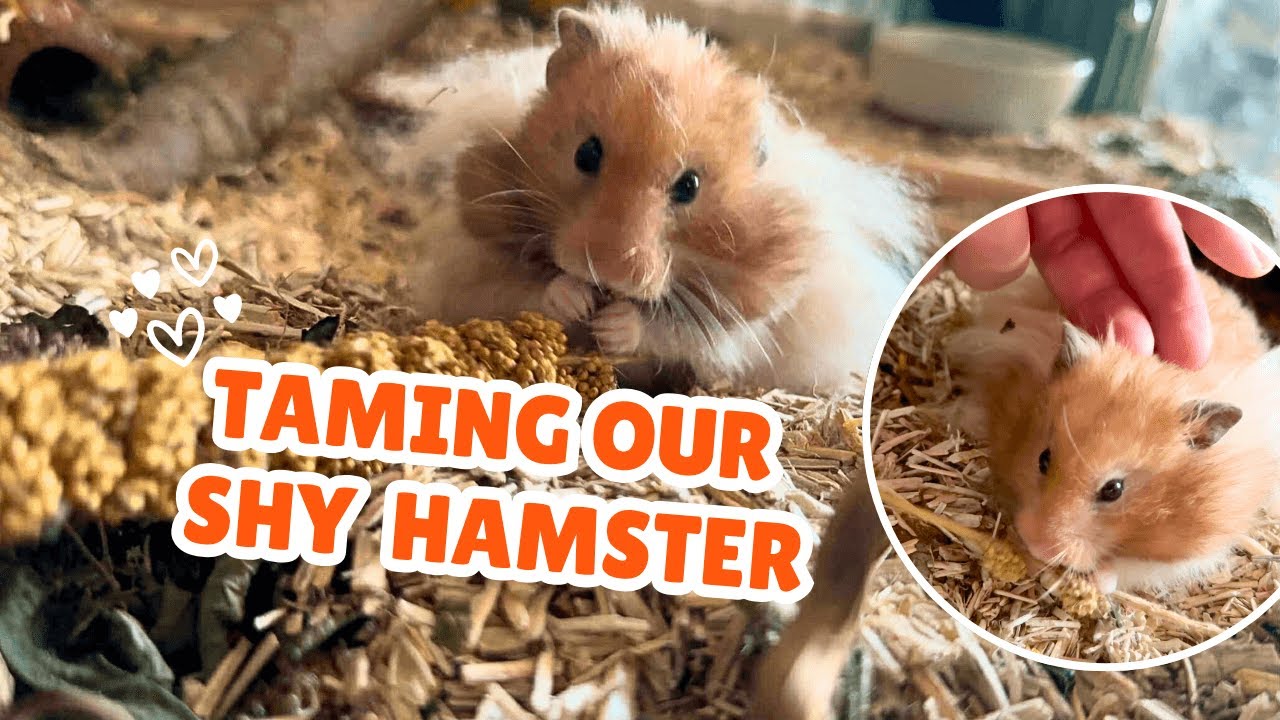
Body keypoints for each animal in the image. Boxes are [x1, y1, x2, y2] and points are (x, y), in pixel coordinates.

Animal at [399, 3, 937, 395]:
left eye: (690, 186)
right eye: (585, 153)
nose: (607, 271)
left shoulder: (744, 317)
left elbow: (678, 332)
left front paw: (615, 325)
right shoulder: (476, 263)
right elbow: (525, 288)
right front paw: (575, 297)